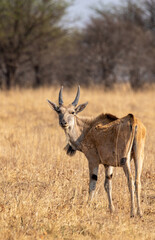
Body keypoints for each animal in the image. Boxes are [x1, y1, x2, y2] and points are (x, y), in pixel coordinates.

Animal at [47, 86, 145, 218]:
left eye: (72, 112)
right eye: (59, 111)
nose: (63, 123)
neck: (87, 129)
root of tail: (133, 120)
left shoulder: (92, 160)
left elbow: (92, 183)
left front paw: (88, 205)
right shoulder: (108, 165)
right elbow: (108, 185)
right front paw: (111, 209)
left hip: (125, 161)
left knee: (130, 180)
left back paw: (132, 212)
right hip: (138, 158)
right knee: (137, 181)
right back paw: (140, 212)